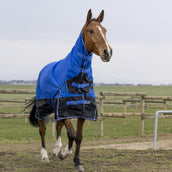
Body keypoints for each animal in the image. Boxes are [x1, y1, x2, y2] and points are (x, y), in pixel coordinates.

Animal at [27, 9, 113, 172]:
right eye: (91, 30)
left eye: (105, 30)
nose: (108, 52)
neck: (78, 76)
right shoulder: (64, 107)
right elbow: (72, 133)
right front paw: (65, 153)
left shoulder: (81, 110)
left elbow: (78, 136)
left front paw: (76, 161)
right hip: (43, 106)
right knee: (42, 130)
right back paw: (45, 156)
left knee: (59, 126)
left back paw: (55, 151)